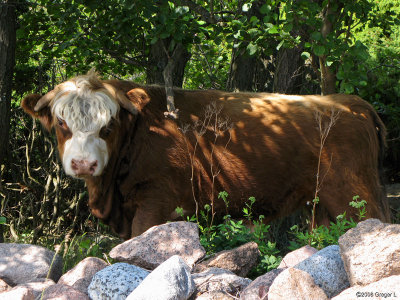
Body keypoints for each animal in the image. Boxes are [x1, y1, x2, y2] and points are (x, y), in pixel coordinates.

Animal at [21, 70, 390, 239]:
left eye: (108, 126)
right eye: (61, 124)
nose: (83, 164)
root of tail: (351, 102)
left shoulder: (157, 202)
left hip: (354, 195)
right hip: (322, 204)